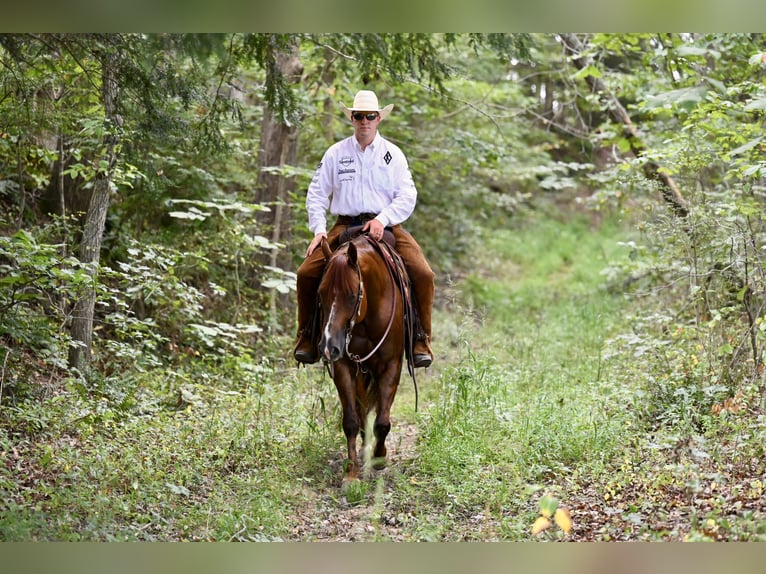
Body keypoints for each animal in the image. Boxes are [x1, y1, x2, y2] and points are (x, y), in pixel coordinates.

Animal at [317, 232, 413, 486]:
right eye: (320, 293)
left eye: (352, 295)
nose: (328, 346)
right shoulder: (343, 364)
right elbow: (351, 420)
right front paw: (351, 474)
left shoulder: (391, 365)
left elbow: (382, 421)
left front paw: (379, 458)